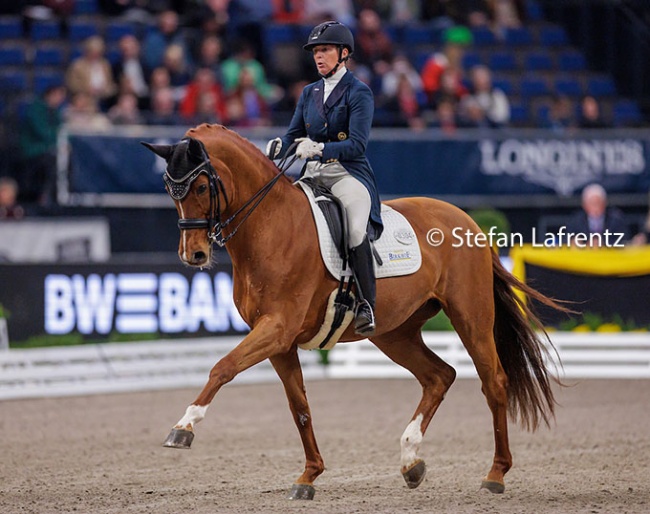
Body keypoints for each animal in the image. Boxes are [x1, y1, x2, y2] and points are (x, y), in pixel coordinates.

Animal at [144, 122, 560, 498]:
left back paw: (495, 475)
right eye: (168, 188)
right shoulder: (279, 341)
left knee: (494, 382)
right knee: (439, 376)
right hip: (394, 333)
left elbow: (223, 367)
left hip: (470, 317)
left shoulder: (277, 328)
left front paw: (183, 427)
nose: (194, 255)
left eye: (201, 187)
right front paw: (308, 477)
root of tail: (467, 220)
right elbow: (299, 406)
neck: (271, 226)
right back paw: (411, 461)